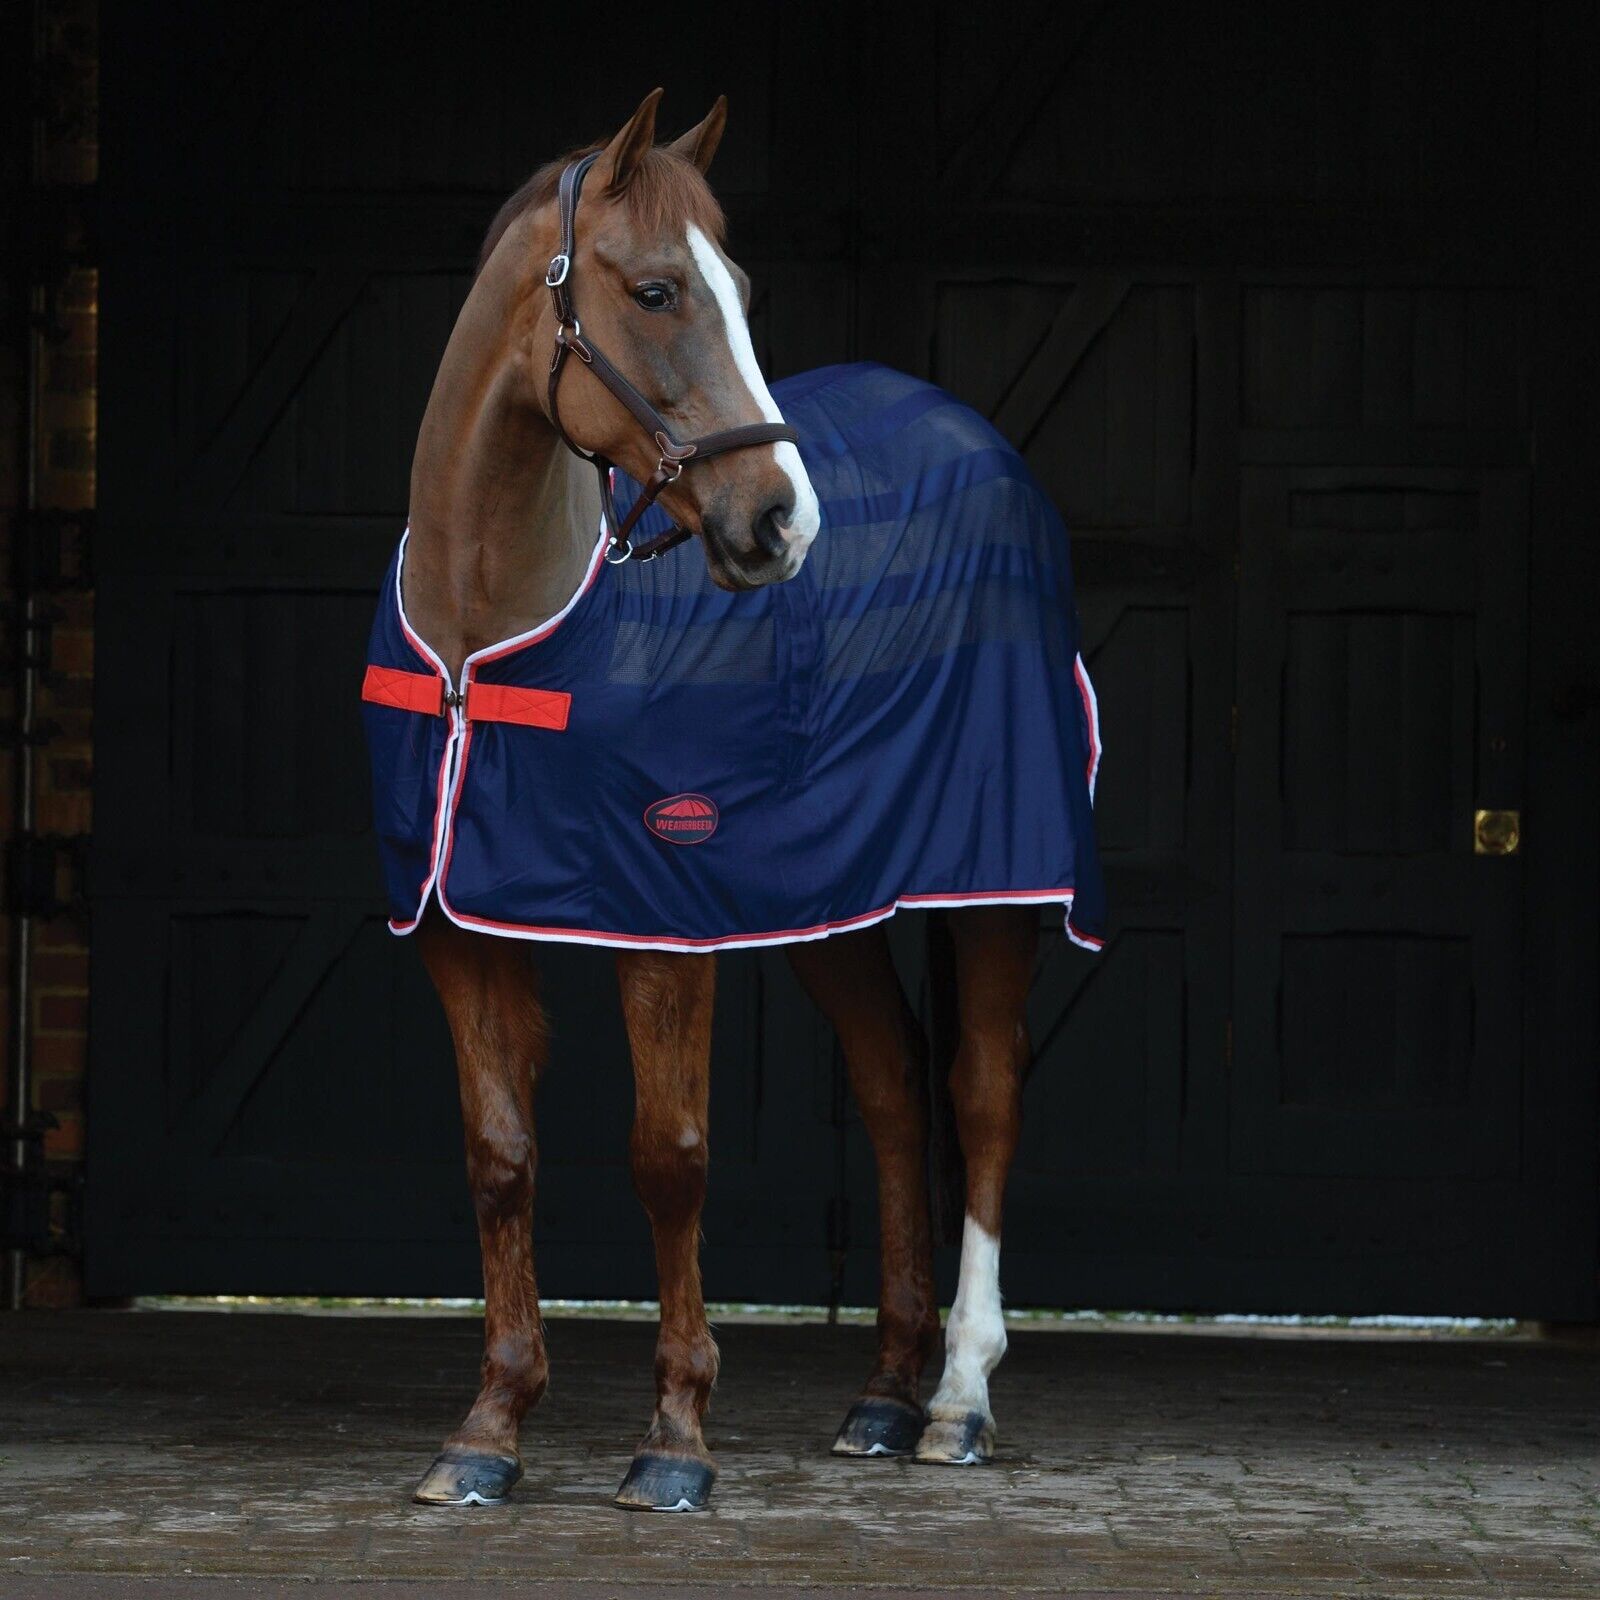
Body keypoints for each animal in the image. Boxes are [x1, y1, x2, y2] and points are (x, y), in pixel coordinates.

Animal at [361, 88, 1105, 1512]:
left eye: (744, 291)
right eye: (655, 289)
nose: (782, 522)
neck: (494, 631)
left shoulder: (663, 922)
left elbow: (670, 1157)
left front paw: (675, 1440)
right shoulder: (454, 925)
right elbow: (500, 1156)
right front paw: (487, 1430)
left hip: (992, 880)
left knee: (981, 1089)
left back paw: (957, 1399)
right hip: (835, 898)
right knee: (893, 1085)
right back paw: (881, 1396)